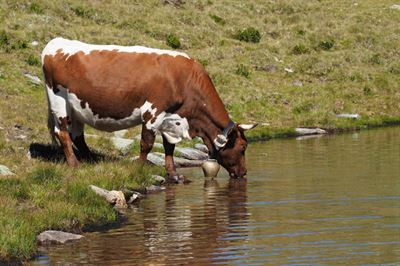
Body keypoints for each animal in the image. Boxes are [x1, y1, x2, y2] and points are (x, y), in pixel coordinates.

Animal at [42, 38, 258, 180]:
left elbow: (169, 147)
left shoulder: (171, 119)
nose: (244, 173)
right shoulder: (153, 113)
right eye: (243, 147)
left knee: (77, 135)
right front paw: (138, 168)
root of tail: (55, 43)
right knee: (62, 133)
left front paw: (173, 174)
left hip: (77, 107)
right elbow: (146, 143)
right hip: (58, 100)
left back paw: (91, 159)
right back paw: (74, 164)